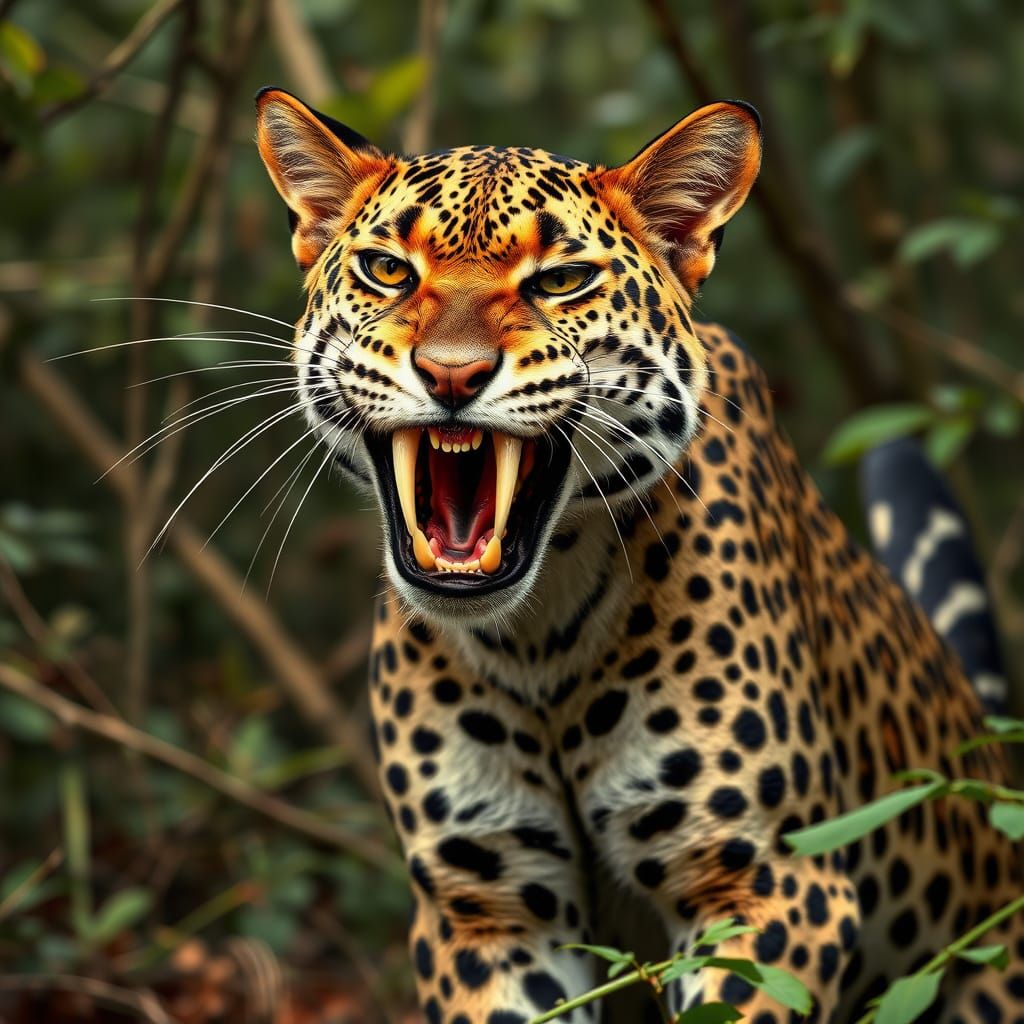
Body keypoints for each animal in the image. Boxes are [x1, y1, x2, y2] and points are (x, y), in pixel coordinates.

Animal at [253, 86, 1024, 1023]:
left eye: (560, 280)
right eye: (388, 271)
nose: (451, 375)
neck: (539, 640)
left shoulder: (765, 882)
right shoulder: (487, 907)